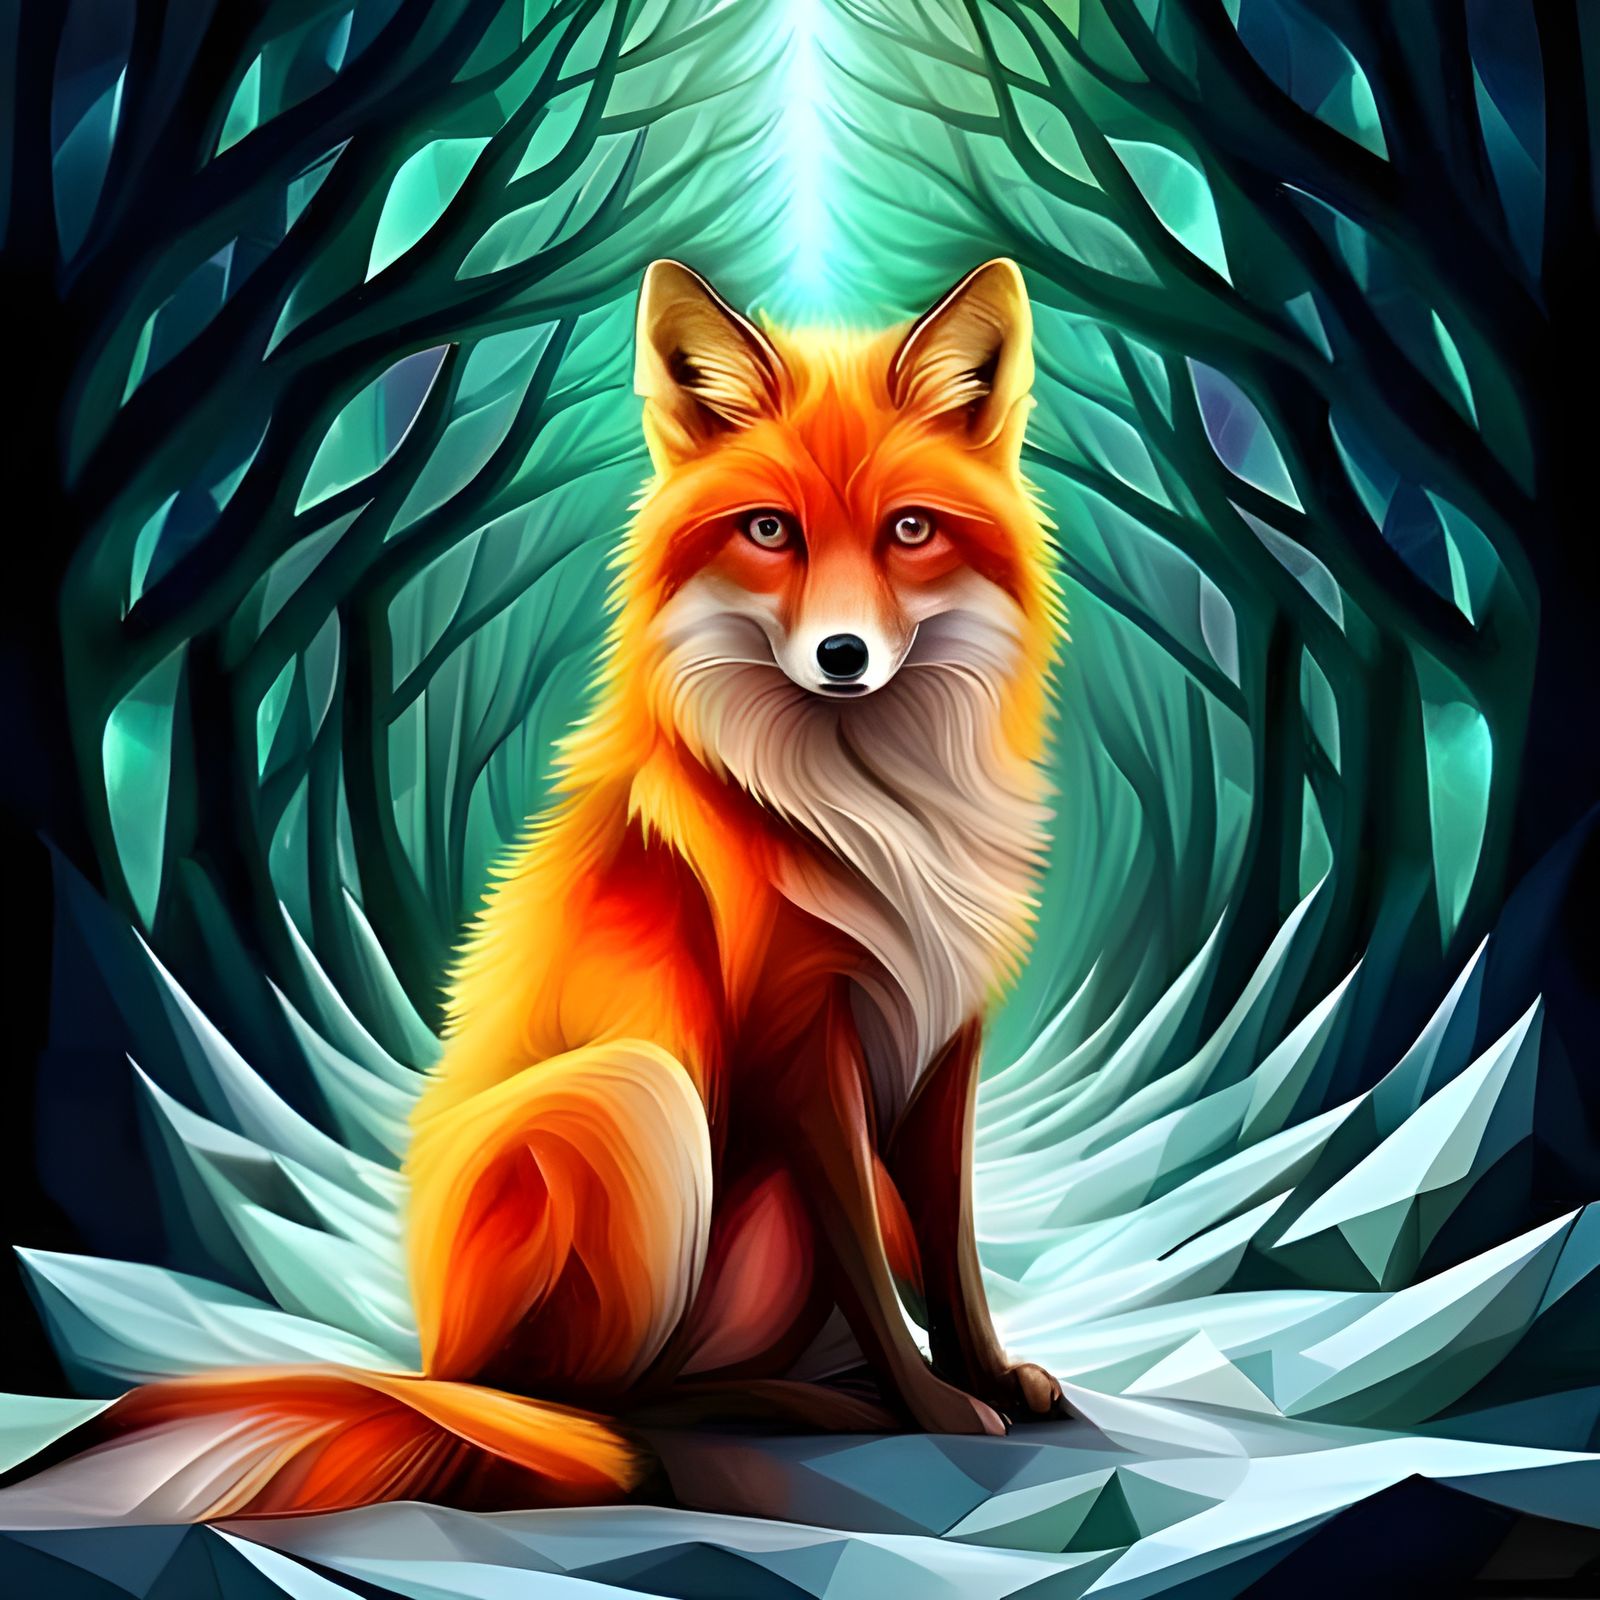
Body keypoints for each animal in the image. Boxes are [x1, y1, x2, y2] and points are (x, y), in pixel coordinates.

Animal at [18, 258, 1066, 1521]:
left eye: (909, 530)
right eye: (769, 530)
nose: (843, 658)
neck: (880, 815)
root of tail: (439, 1363)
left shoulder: (946, 1037)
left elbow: (953, 1257)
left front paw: (988, 1376)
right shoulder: (800, 1037)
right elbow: (868, 1260)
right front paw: (935, 1410)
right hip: (635, 1095)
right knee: (610, 1404)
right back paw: (803, 1407)